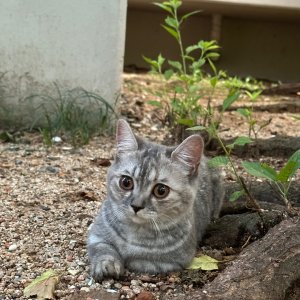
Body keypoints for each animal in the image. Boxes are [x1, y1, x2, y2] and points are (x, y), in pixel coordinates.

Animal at [86, 119, 223, 282]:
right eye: (126, 182)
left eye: (161, 191)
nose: (136, 206)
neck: (134, 231)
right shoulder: (96, 235)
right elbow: (103, 249)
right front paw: (107, 264)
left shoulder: (173, 261)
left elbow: (138, 259)